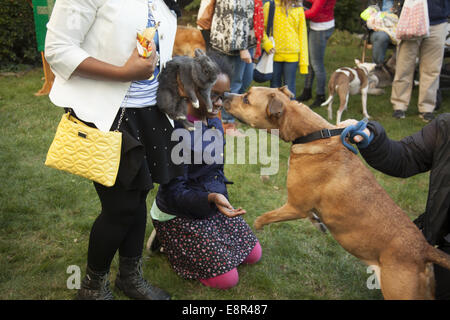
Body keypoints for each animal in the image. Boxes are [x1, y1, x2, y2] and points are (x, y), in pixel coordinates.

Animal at [223, 85, 450, 300]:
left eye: (246, 99)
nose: (224, 94)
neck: (311, 134)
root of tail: (423, 249)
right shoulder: (303, 207)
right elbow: (311, 216)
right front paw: (317, 222)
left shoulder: (294, 206)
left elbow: (266, 216)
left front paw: (257, 225)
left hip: (399, 291)